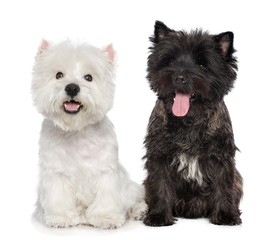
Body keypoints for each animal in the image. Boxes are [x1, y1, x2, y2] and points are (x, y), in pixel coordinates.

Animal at [31, 39, 147, 229]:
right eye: (58, 75)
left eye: (88, 77)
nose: (72, 87)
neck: (77, 130)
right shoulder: (56, 172)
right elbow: (59, 196)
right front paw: (60, 218)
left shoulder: (106, 172)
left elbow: (106, 198)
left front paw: (106, 218)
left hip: (130, 188)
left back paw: (139, 211)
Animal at [143, 21, 242, 227]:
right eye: (170, 61)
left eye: (202, 65)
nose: (179, 77)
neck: (188, 122)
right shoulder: (159, 156)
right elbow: (160, 185)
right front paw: (158, 216)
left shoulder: (221, 158)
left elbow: (223, 186)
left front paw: (225, 216)